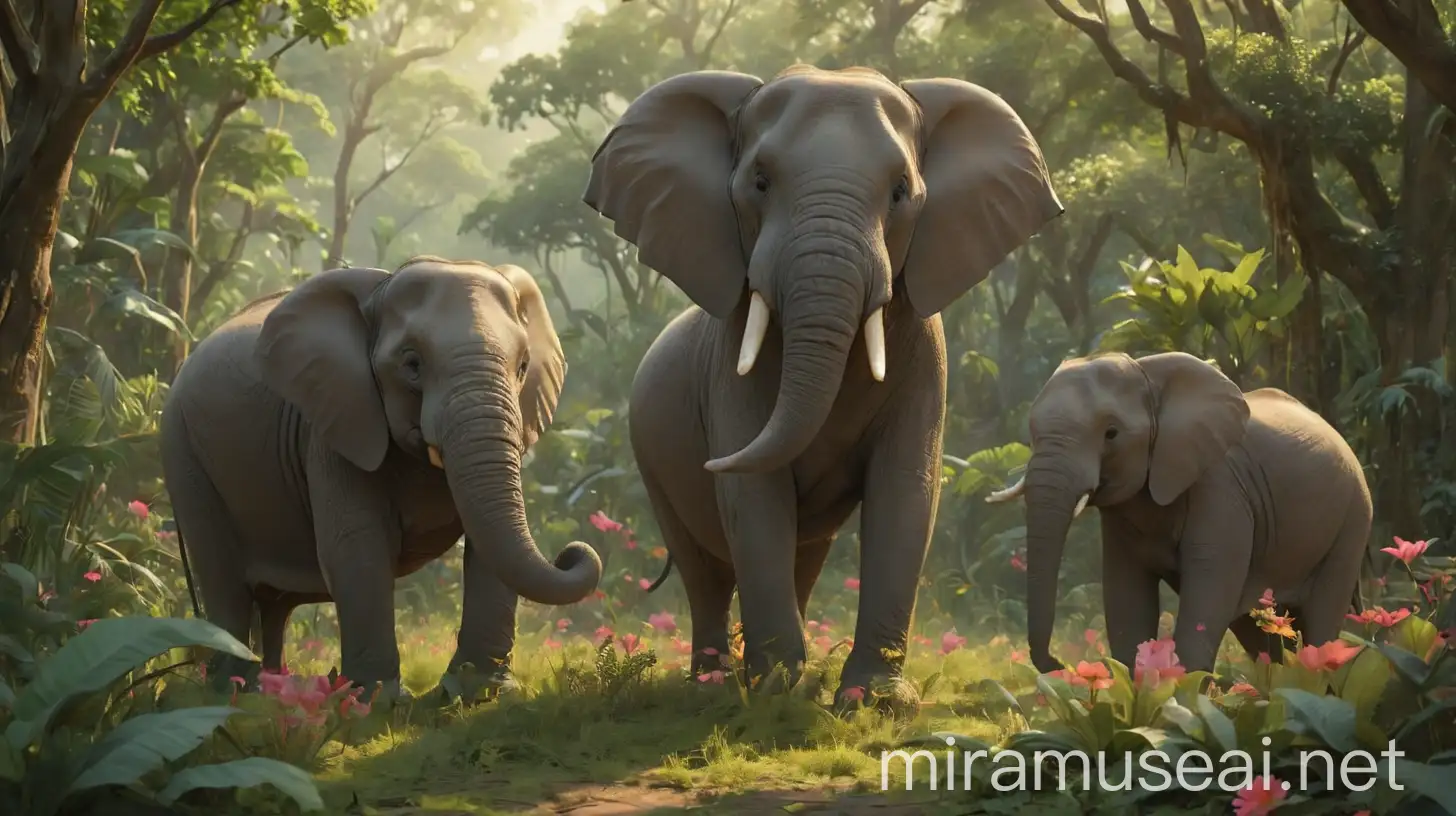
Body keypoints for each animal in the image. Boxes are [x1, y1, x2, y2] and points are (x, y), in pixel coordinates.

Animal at [153, 257, 596, 699]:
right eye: (412, 364)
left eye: (522, 367)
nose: (571, 551)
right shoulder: (336, 420)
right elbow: (356, 541)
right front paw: (379, 701)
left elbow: (487, 545)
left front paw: (480, 693)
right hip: (182, 451)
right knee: (223, 579)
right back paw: (231, 692)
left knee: (273, 604)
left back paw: (267, 690)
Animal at [576, 62, 1059, 708]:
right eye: (759, 182)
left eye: (901, 192)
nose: (710, 461)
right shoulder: (731, 357)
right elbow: (754, 494)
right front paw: (774, 691)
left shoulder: (928, 356)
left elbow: (905, 489)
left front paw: (874, 702)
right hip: (647, 456)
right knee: (702, 567)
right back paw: (713, 684)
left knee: (802, 556)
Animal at [984, 351, 1368, 676]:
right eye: (1032, 433)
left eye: (1111, 433)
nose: (1058, 663)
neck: (1149, 379)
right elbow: (1127, 596)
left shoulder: (1220, 488)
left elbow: (1206, 594)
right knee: (1255, 628)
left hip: (1353, 519)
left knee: (1320, 621)